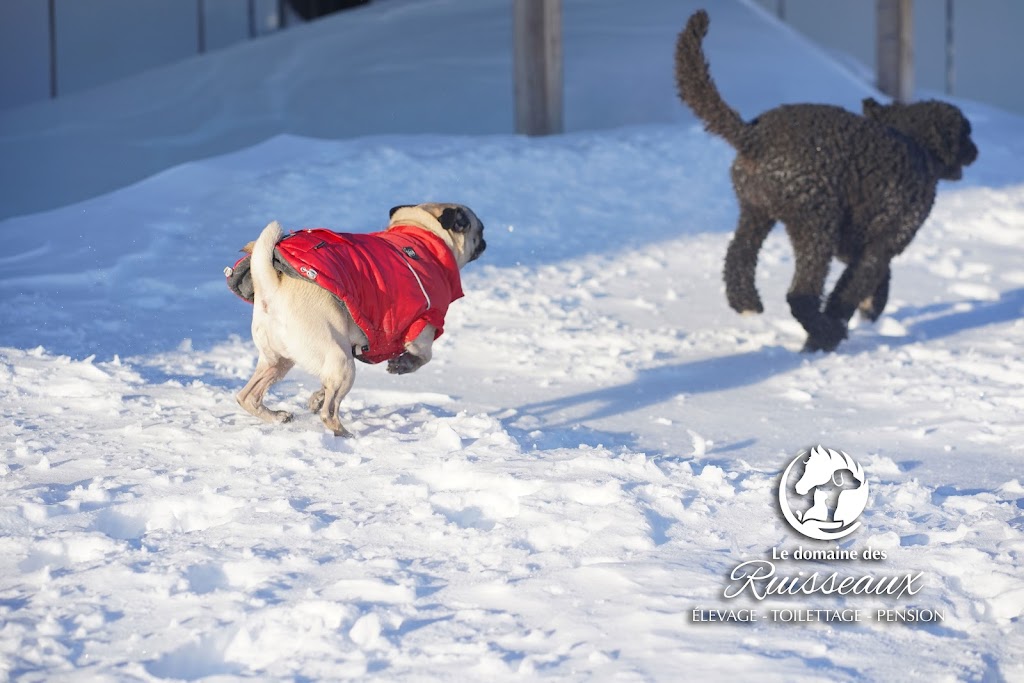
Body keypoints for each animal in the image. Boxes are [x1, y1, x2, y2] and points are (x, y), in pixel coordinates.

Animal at [230, 204, 485, 438]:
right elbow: (423, 357)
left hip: (279, 361)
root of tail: (272, 288)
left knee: (248, 396)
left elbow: (322, 388)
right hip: (342, 363)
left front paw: (316, 397)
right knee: (329, 412)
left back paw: (278, 416)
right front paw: (402, 365)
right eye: (480, 229)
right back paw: (345, 434)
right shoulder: (422, 329)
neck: (422, 230)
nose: (485, 242)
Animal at [671, 7, 974, 352]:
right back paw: (827, 332)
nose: (976, 150)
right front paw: (832, 331)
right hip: (816, 226)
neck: (915, 142)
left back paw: (748, 304)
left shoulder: (859, 246)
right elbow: (852, 289)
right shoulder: (883, 242)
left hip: (755, 212)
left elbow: (872, 279)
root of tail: (753, 136)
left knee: (737, 261)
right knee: (799, 296)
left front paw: (866, 310)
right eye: (966, 133)